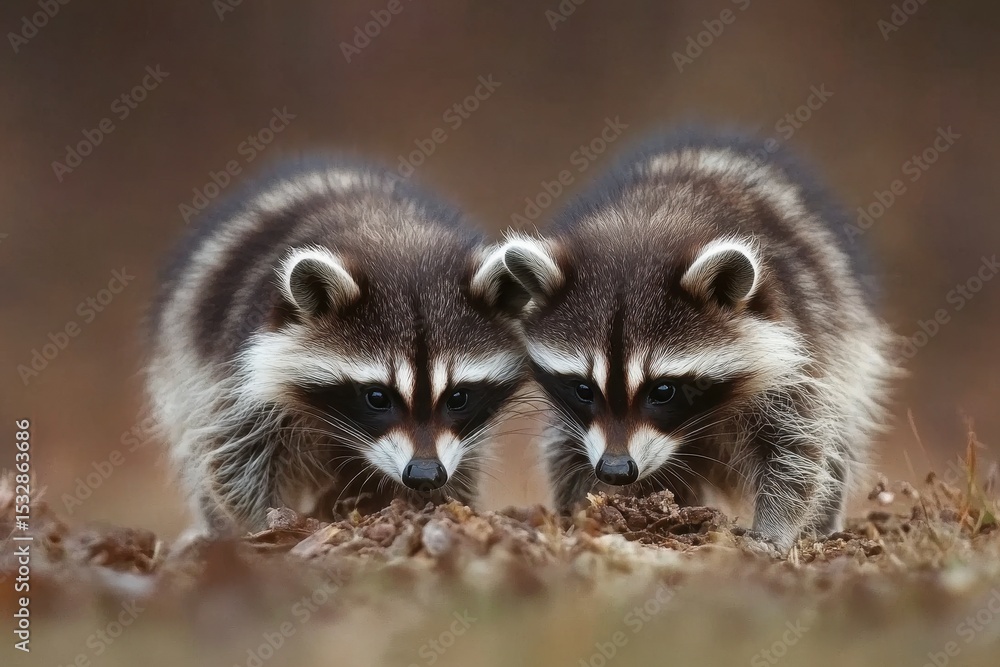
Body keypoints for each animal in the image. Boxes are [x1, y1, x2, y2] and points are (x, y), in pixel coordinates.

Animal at [147, 158, 530, 535]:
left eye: (459, 397)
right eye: (377, 397)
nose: (425, 474)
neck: (395, 236)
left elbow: (466, 457)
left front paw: (445, 501)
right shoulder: (234, 372)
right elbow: (234, 456)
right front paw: (255, 525)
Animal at [486, 132, 897, 551]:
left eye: (663, 390)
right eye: (583, 389)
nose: (615, 470)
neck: (646, 222)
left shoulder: (799, 348)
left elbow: (797, 448)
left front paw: (774, 529)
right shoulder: (575, 419)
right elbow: (565, 449)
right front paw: (580, 511)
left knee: (839, 436)